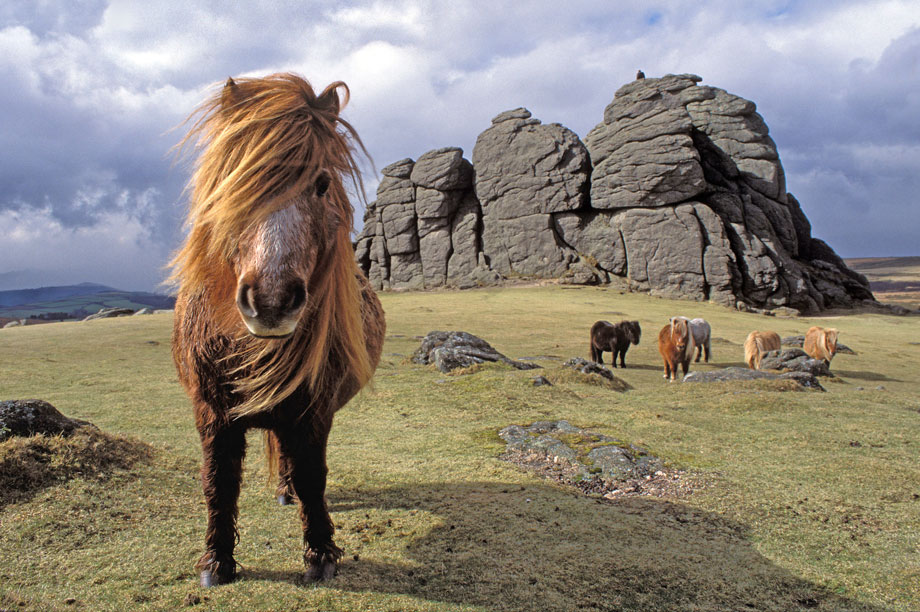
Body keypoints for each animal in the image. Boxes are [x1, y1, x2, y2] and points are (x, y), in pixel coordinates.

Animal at [170, 74, 385, 587]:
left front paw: (321, 554)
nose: (270, 302)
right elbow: (218, 481)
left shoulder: (313, 412)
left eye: (321, 184)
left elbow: (311, 477)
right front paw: (217, 562)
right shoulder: (212, 413)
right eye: (236, 181)